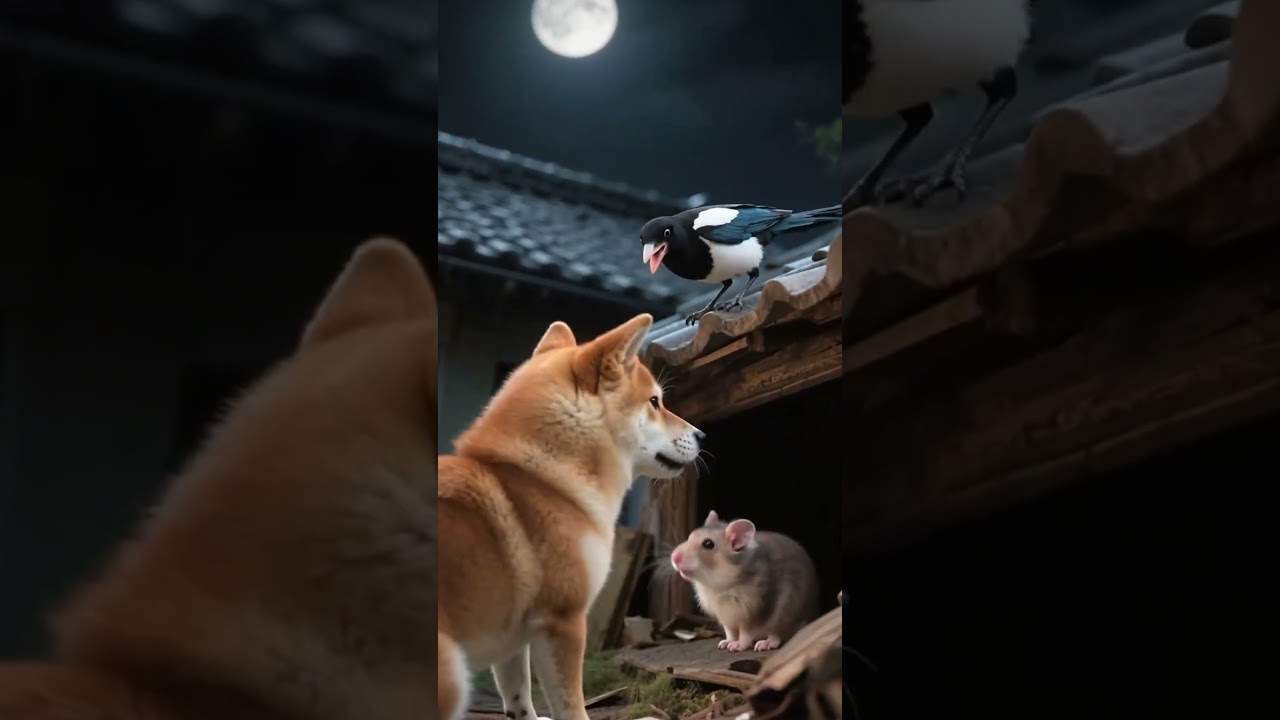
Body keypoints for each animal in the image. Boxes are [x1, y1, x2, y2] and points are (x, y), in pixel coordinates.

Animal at [670, 510, 819, 652]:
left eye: (708, 544)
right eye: (690, 536)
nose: (674, 557)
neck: (719, 585)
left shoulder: (753, 613)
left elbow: (745, 634)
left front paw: (737, 646)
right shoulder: (725, 616)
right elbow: (730, 632)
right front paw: (725, 643)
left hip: (785, 615)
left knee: (777, 634)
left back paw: (766, 643)